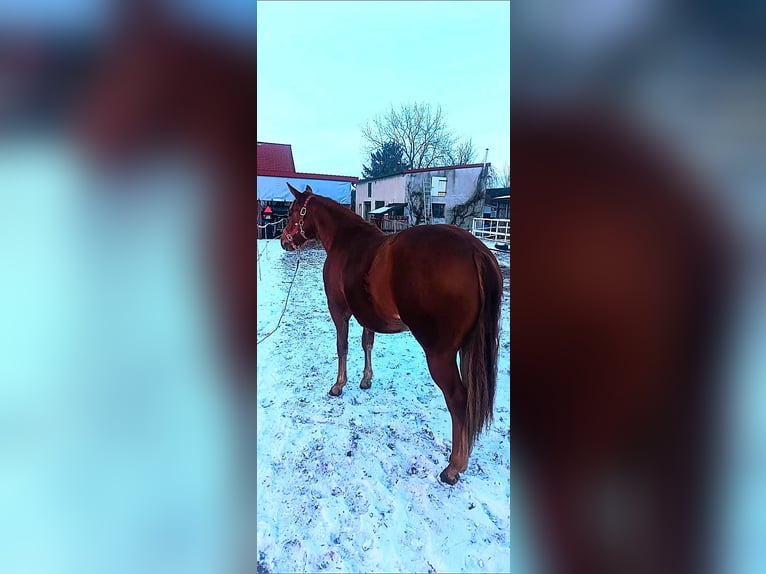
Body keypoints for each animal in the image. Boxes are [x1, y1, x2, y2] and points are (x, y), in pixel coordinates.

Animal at [279, 182, 504, 485]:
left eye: (293, 211)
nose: (284, 241)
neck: (345, 242)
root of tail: (476, 251)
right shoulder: (366, 315)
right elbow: (367, 343)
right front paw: (366, 380)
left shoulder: (339, 311)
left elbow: (342, 347)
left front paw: (338, 385)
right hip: (469, 348)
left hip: (440, 356)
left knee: (458, 399)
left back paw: (453, 467)